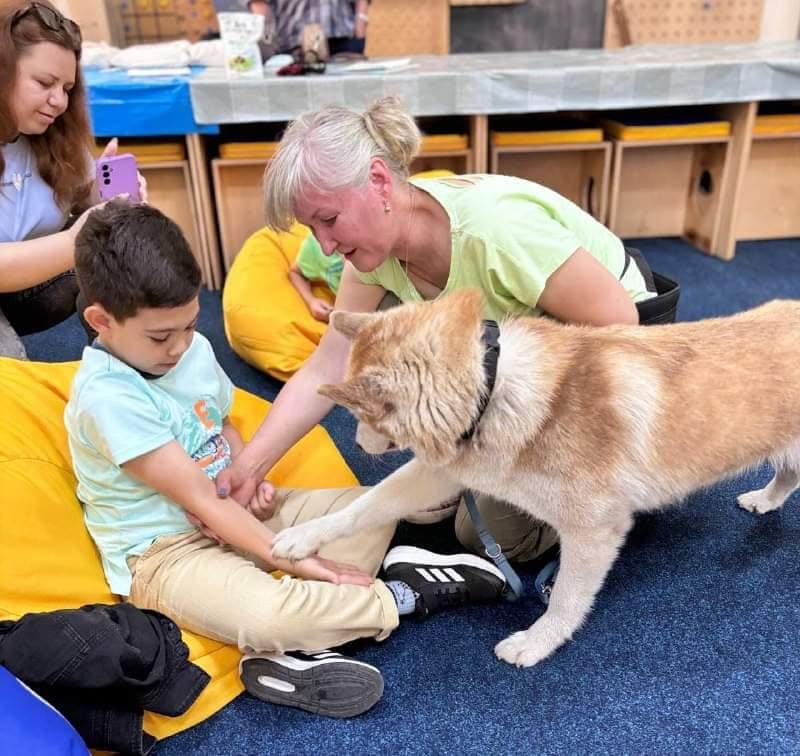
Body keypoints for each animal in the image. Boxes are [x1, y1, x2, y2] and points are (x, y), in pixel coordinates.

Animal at [270, 290, 800, 668]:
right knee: (787, 477)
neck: (495, 393)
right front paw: (303, 537)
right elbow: (365, 506)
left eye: (365, 417)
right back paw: (765, 500)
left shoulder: (594, 532)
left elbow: (564, 597)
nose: (359, 447)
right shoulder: (441, 473)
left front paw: (538, 642)